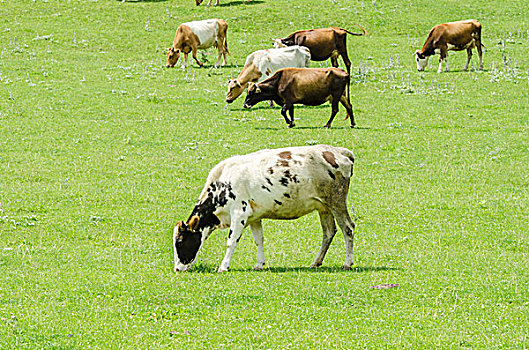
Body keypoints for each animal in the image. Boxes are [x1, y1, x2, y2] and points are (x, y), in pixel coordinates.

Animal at [172, 145, 354, 274]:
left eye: (180, 241)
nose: (177, 268)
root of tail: (340, 151)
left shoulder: (239, 213)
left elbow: (231, 242)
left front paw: (223, 266)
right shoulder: (254, 217)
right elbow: (259, 240)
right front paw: (259, 264)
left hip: (337, 202)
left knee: (348, 228)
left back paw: (347, 263)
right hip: (324, 208)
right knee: (329, 232)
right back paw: (316, 262)